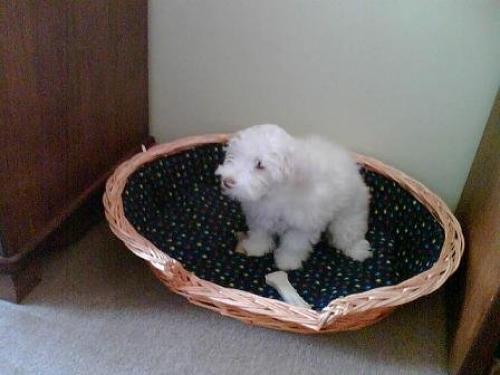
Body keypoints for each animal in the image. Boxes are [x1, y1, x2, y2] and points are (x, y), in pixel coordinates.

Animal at [215, 125, 372, 270]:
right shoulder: (259, 216)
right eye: (234, 155)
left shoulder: (302, 227)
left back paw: (358, 251)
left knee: (349, 235)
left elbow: (293, 245)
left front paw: (287, 262)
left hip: (348, 217)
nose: (227, 181)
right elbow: (259, 234)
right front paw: (256, 248)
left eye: (260, 165)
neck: (274, 194)